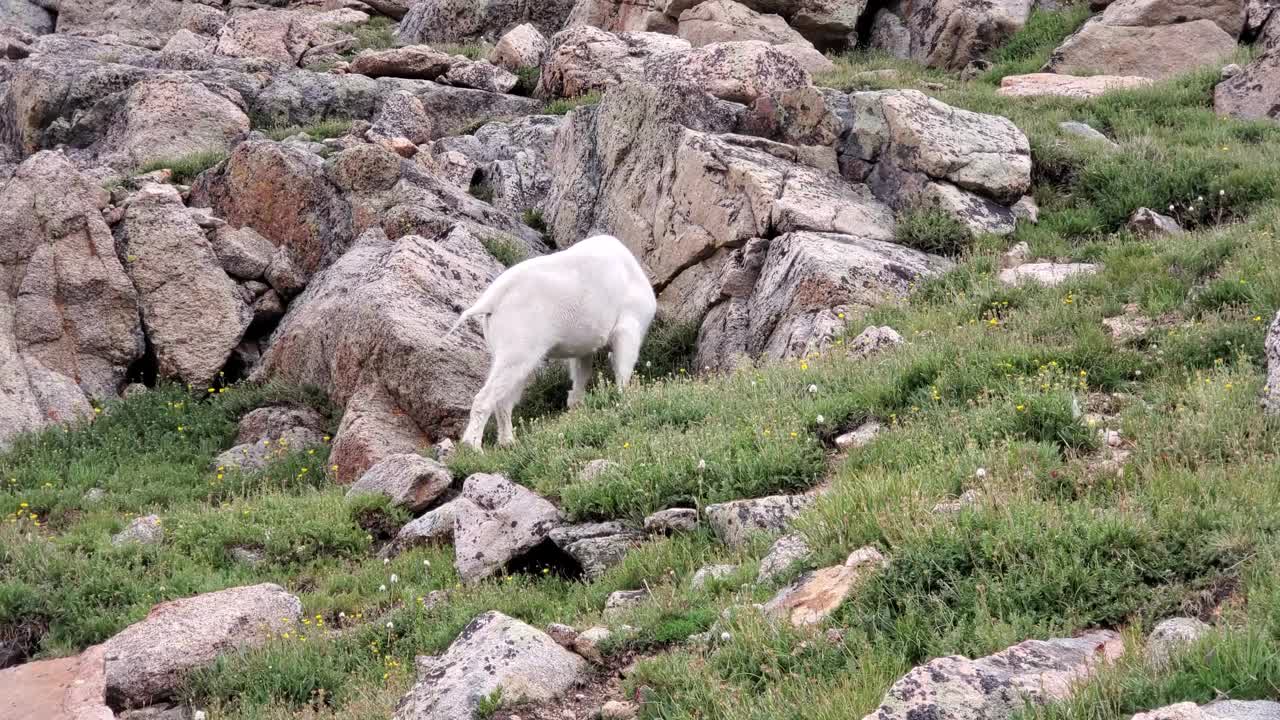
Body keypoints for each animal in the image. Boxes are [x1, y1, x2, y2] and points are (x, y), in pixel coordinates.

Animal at [448, 234, 655, 448]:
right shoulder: (629, 326)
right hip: (518, 347)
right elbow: (623, 369)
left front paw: (577, 408)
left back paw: (508, 442)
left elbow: (581, 374)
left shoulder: (584, 349)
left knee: (504, 399)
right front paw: (624, 401)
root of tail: (491, 301)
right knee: (485, 398)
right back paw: (473, 445)